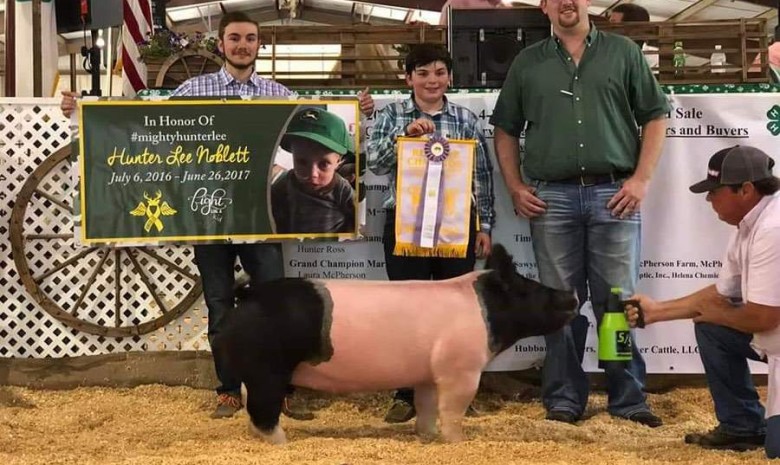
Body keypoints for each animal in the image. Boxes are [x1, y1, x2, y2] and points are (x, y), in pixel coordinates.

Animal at [219, 243, 580, 442]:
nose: (572, 294)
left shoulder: (429, 374)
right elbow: (453, 409)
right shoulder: (460, 369)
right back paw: (283, 442)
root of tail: (248, 296)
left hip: (255, 371)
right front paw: (457, 442)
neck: (485, 312)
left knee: (252, 406)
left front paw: (428, 436)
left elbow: (427, 407)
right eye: (530, 288)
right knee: (263, 410)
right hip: (268, 369)